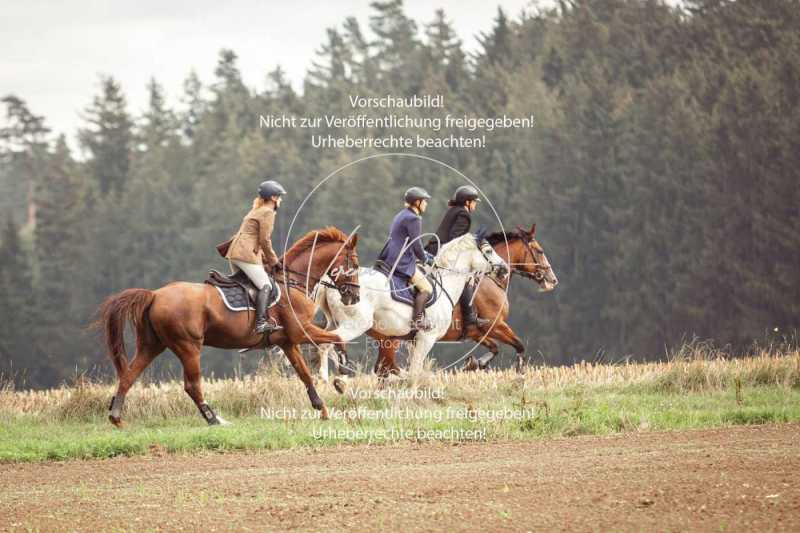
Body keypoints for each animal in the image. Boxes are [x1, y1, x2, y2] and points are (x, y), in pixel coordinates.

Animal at [90, 227, 360, 426]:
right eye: (355, 265)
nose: (354, 298)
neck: (293, 281)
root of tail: (155, 295)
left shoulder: (287, 341)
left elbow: (304, 373)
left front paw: (322, 409)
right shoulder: (301, 331)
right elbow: (337, 338)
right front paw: (342, 375)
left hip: (152, 345)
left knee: (128, 375)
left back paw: (116, 418)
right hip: (188, 346)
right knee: (192, 385)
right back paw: (214, 419)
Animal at [374, 222, 556, 376]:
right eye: (540, 251)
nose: (553, 280)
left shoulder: (477, 333)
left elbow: (495, 347)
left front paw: (475, 363)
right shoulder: (496, 325)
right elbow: (519, 345)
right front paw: (519, 371)